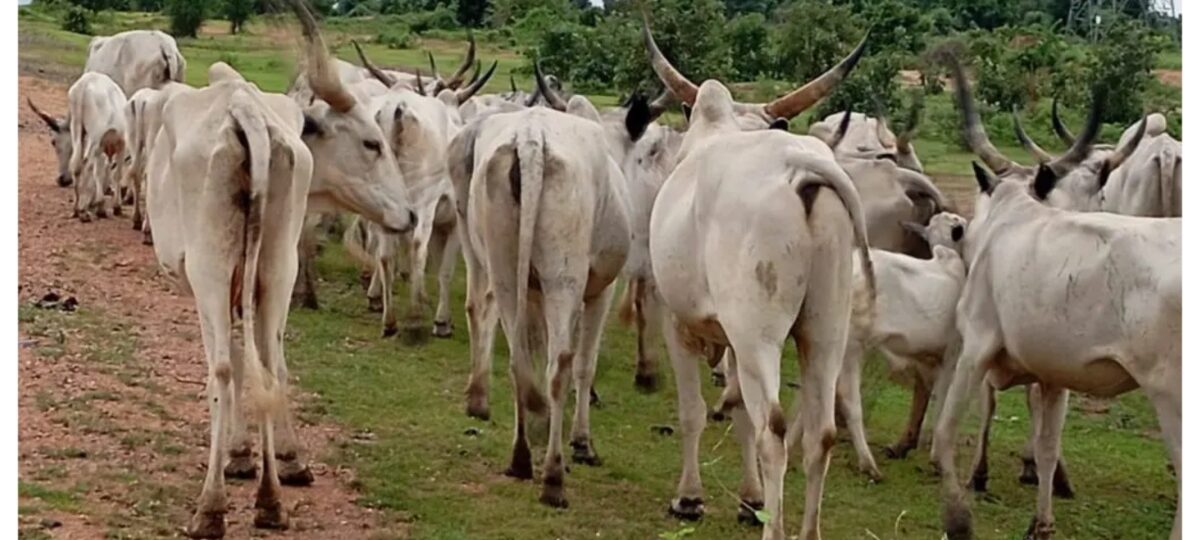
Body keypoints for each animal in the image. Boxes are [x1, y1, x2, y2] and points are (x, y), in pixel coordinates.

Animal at [67, 72, 128, 222]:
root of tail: (85, 82)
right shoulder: (122, 145)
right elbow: (116, 175)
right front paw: (116, 206)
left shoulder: (100, 150)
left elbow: (98, 174)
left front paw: (99, 206)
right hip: (95, 135)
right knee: (85, 164)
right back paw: (83, 212)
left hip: (77, 127)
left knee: (76, 165)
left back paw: (76, 209)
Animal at [447, 68, 631, 508]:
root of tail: (531, 139)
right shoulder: (600, 290)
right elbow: (584, 364)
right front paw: (581, 443)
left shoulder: (531, 292)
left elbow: (533, 344)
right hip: (563, 278)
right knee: (559, 364)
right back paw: (552, 478)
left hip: (502, 266)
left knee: (518, 357)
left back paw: (520, 457)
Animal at [643, 18, 873, 540]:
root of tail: (800, 167)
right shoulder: (729, 338)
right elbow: (737, 411)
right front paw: (750, 500)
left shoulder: (677, 321)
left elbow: (693, 412)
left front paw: (689, 498)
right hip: (825, 330)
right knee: (821, 433)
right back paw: (807, 531)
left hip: (758, 334)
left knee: (774, 430)